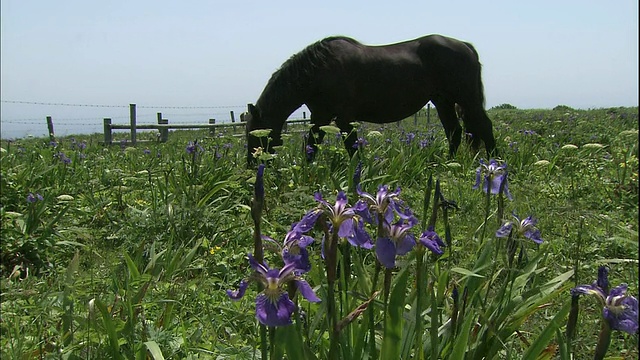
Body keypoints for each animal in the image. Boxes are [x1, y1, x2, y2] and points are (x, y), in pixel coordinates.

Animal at [244, 33, 496, 165]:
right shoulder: (320, 116)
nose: (252, 165)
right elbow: (312, 144)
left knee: (484, 126)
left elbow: (351, 147)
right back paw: (446, 163)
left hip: (467, 99)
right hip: (443, 101)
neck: (319, 70)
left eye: (254, 136)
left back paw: (495, 164)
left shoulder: (344, 118)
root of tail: (466, 46)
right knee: (454, 131)